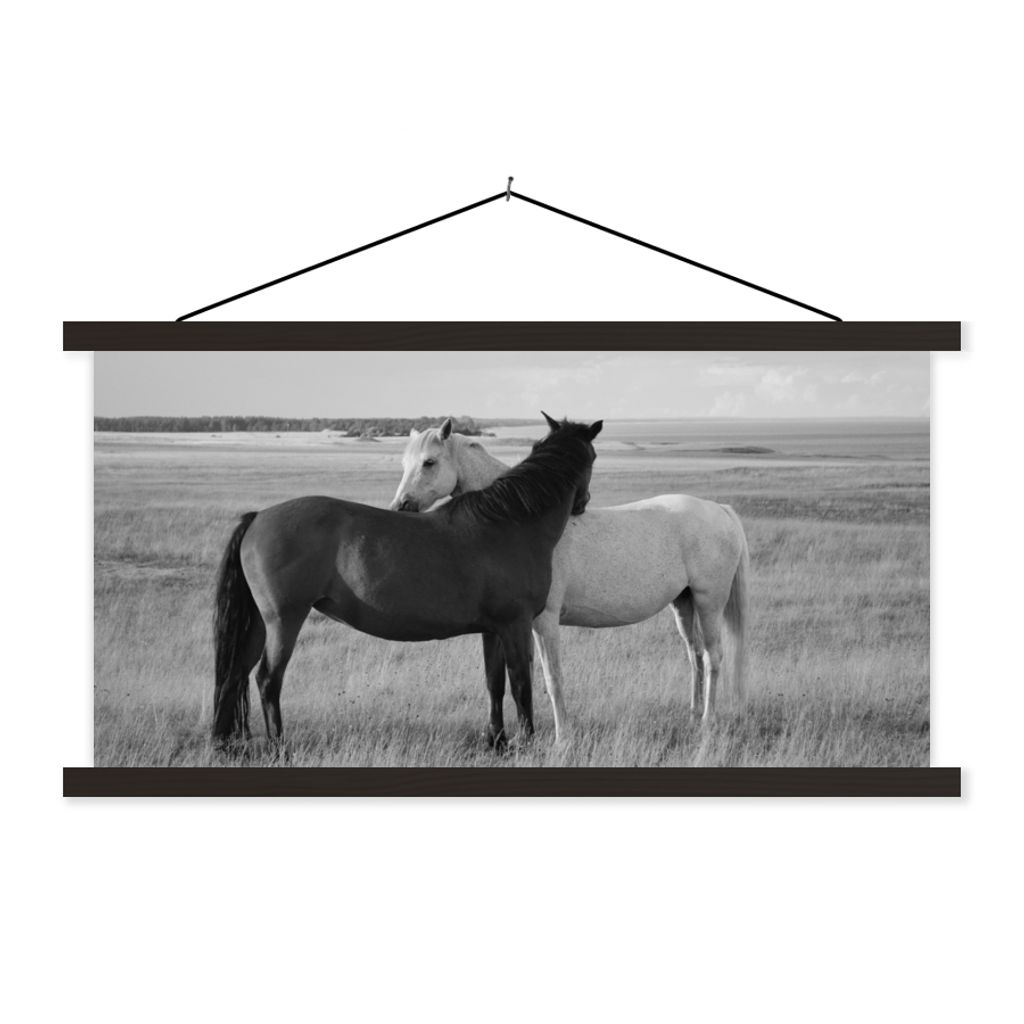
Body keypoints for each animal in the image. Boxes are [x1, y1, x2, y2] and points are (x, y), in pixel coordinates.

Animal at [212, 415, 602, 749]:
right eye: (594, 456)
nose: (583, 503)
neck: (509, 522)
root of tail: (258, 517)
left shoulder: (493, 629)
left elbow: (495, 683)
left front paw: (498, 742)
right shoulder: (516, 625)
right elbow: (522, 684)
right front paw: (526, 742)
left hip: (258, 624)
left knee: (234, 675)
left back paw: (223, 744)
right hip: (284, 621)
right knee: (267, 680)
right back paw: (279, 748)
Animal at [390, 415, 749, 742]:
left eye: (429, 462)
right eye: (405, 462)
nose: (400, 506)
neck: (519, 519)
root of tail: (719, 508)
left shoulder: (544, 621)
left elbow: (552, 678)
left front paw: (562, 736)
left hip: (709, 602)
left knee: (712, 656)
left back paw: (708, 721)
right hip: (683, 603)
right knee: (694, 654)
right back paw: (693, 715)